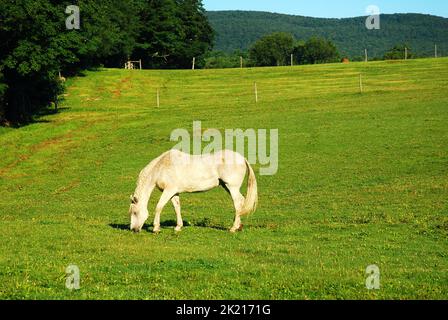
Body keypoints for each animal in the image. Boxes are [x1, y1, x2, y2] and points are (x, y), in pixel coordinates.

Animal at [128, 149, 258, 234]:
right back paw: (239, 226)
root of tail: (242, 158)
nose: (133, 230)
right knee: (241, 202)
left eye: (134, 212)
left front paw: (156, 228)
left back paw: (233, 228)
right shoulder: (174, 192)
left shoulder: (168, 191)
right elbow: (177, 208)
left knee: (237, 204)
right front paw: (178, 227)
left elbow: (159, 207)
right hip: (227, 187)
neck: (161, 167)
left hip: (232, 187)